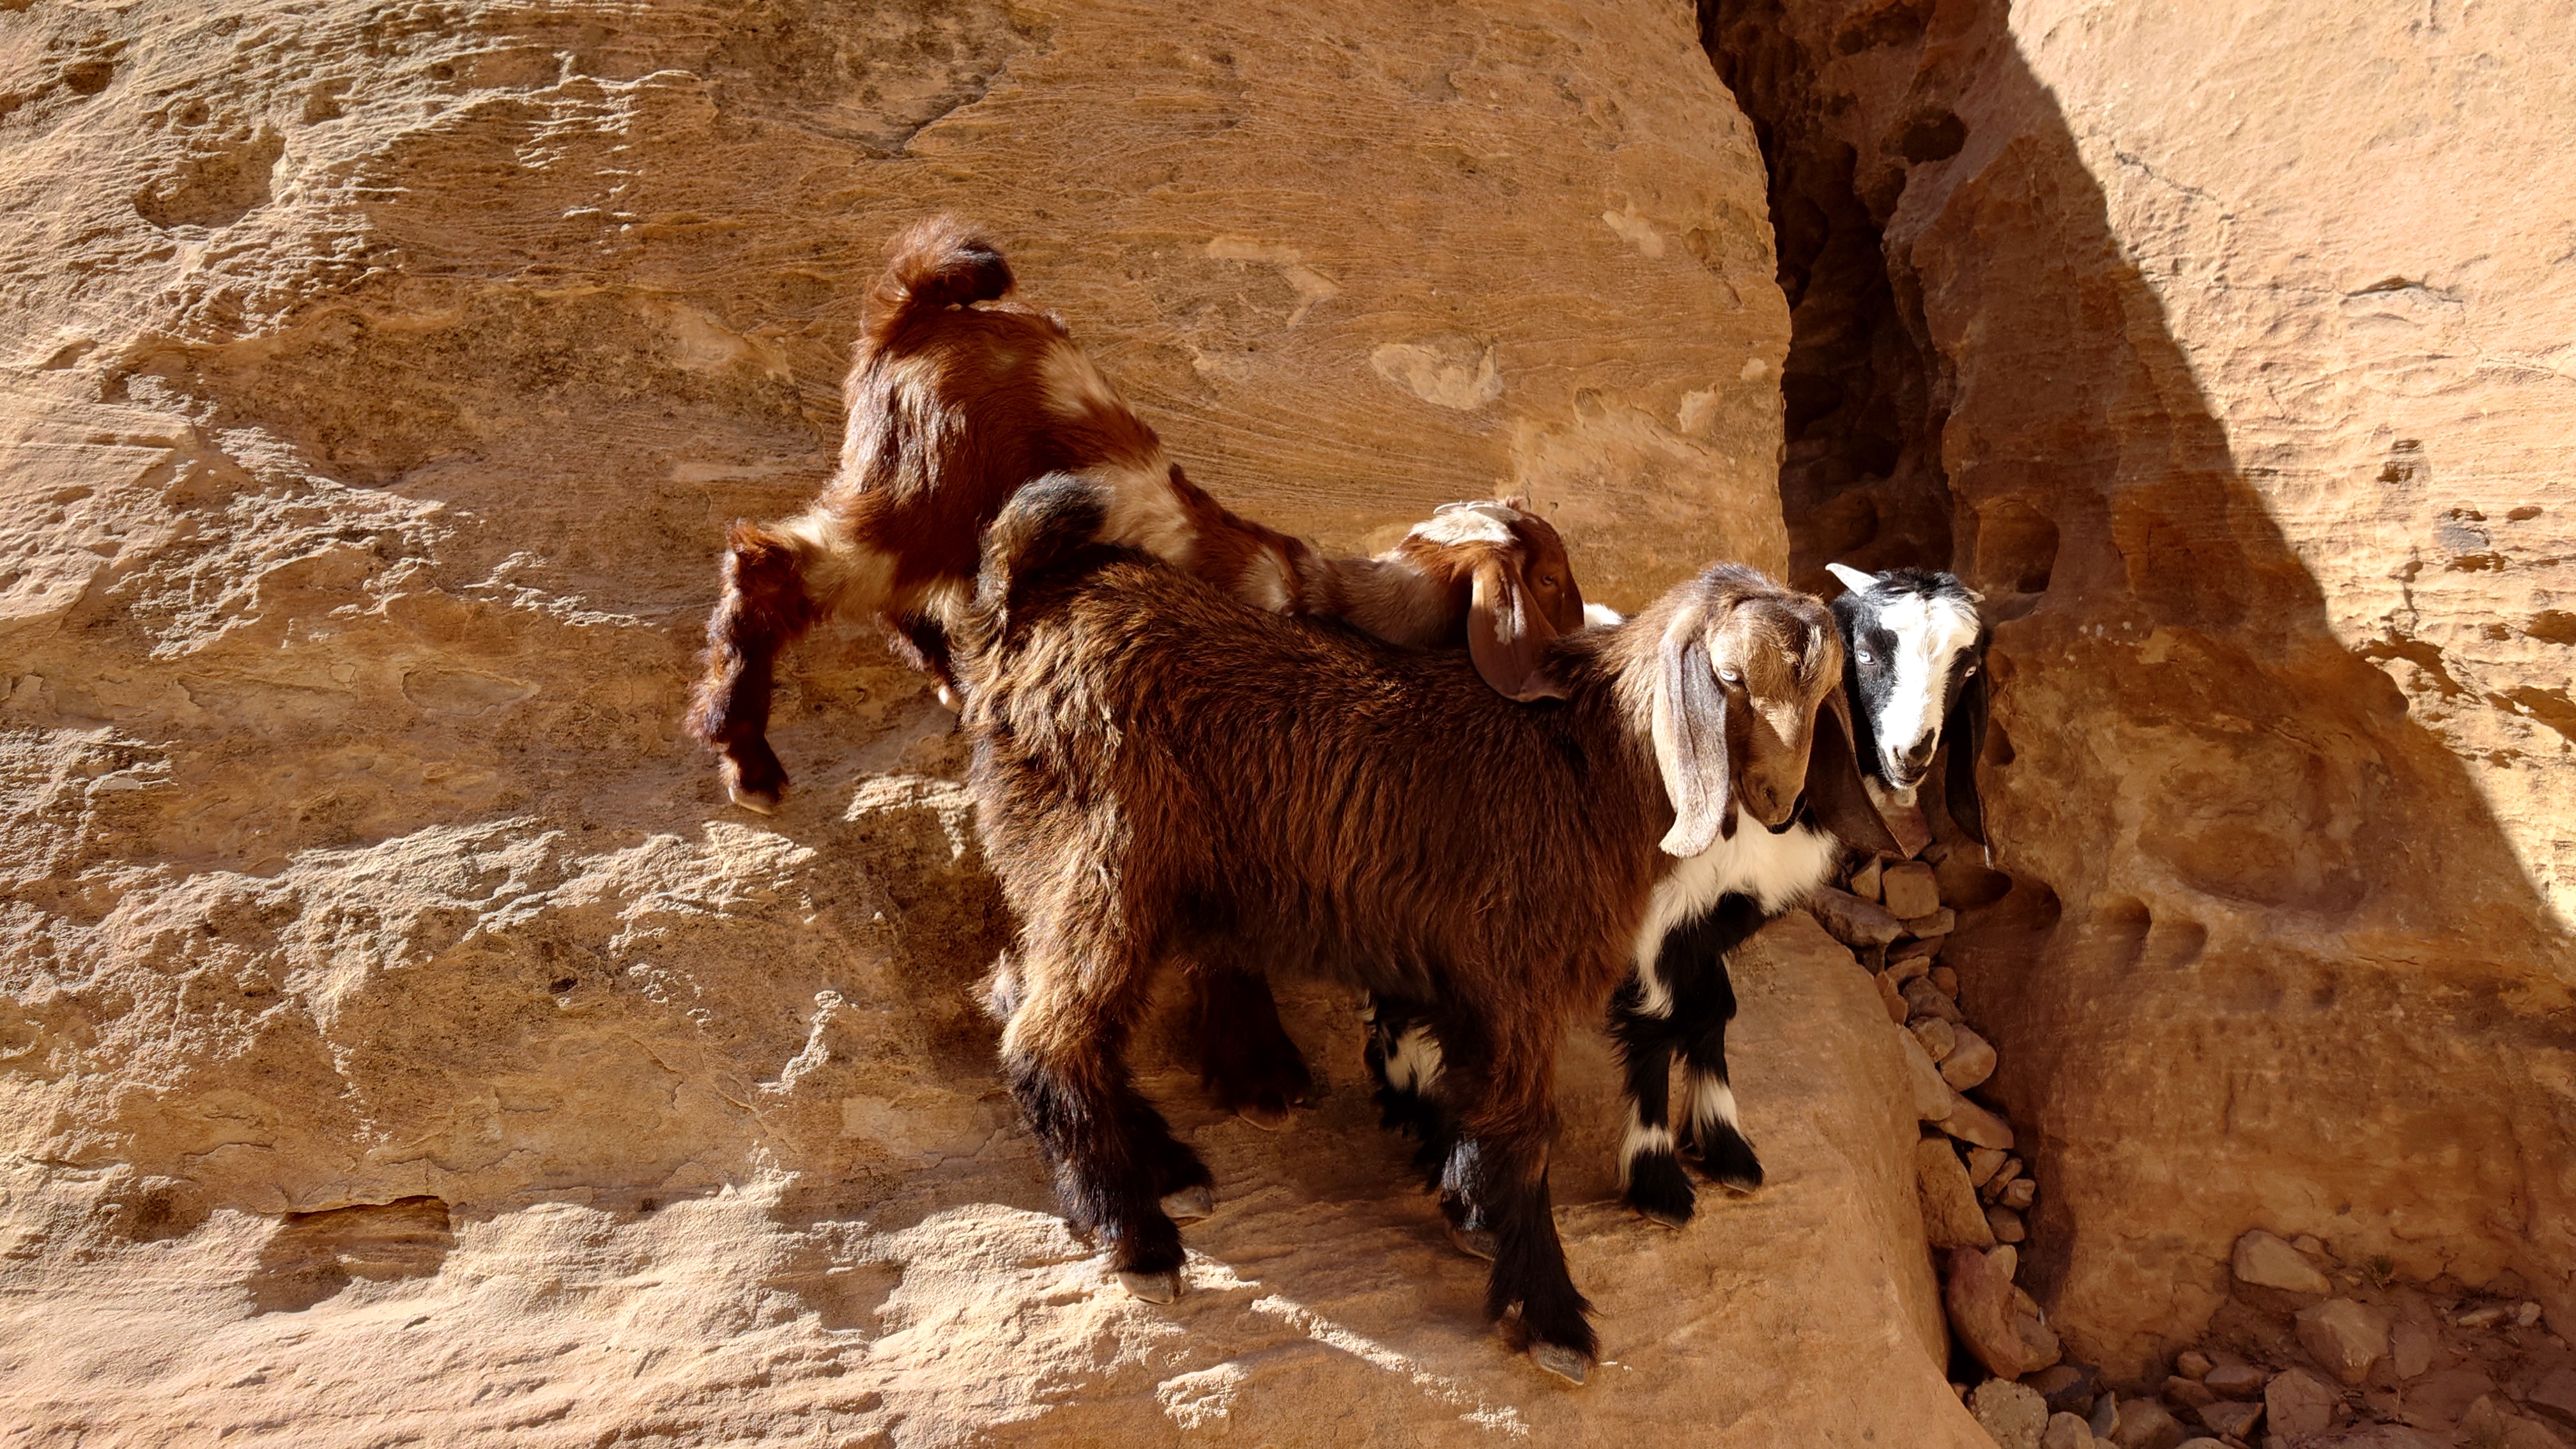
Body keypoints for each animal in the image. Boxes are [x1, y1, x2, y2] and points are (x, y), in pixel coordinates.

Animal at [684, 216, 1583, 815]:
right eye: (1549, 578)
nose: (1579, 624)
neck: (1320, 591)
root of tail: (913, 310)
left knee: (902, 599)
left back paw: (945, 681)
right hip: (923, 487)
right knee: (772, 565)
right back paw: (749, 761)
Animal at [952, 473, 1891, 1382]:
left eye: (1821, 695)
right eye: (1730, 679)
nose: (1779, 802)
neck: (1593, 760)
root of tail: (1032, 608)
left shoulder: (1465, 980)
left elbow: (1469, 1101)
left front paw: (1469, 1212)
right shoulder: (1517, 978)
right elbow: (1522, 1131)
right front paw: (1550, 1315)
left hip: (1067, 866)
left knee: (1018, 991)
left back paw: (1167, 1169)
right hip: (1106, 861)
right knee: (1051, 1034)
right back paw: (1138, 1235)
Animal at [1364, 564, 1984, 1229]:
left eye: (1967, 667)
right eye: (1867, 653)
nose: (1910, 755)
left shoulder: (1730, 908)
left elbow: (1712, 1007)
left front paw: (1723, 1143)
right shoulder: (1654, 910)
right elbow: (1660, 1022)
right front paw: (1656, 1176)